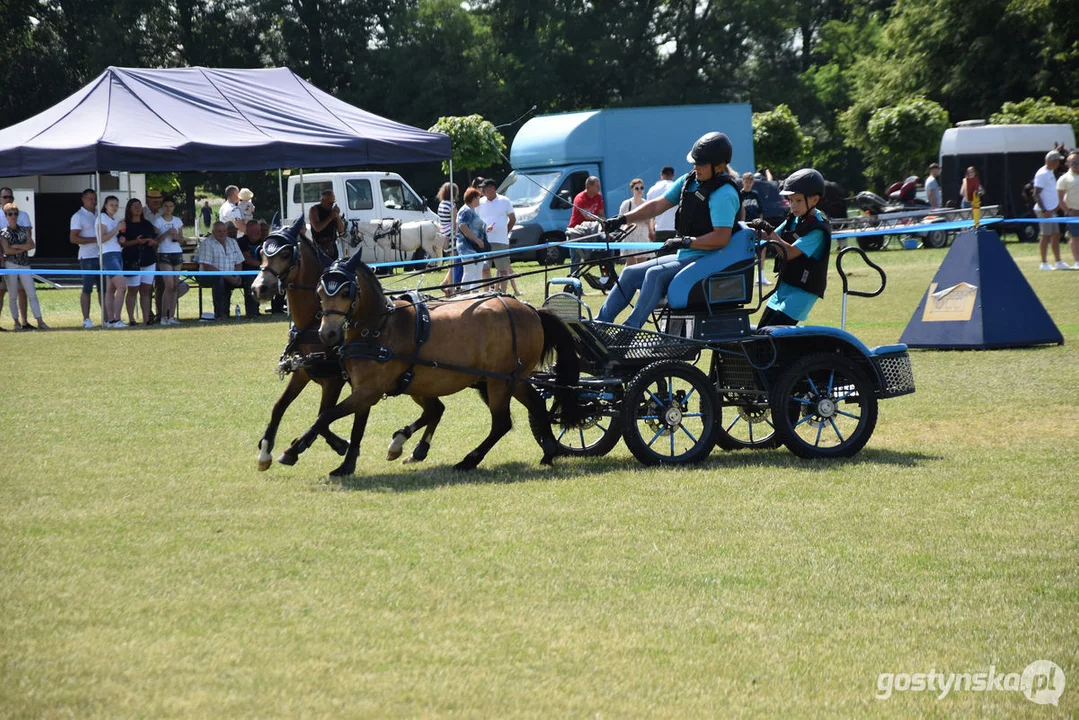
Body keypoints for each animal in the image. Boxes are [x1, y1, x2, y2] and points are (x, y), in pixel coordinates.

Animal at [248, 216, 349, 470]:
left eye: (286, 253)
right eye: (261, 252)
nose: (259, 288)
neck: (314, 321)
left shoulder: (333, 380)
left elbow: (323, 416)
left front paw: (299, 446)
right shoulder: (302, 371)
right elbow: (279, 406)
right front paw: (265, 449)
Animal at [276, 254, 582, 479]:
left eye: (345, 291)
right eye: (320, 291)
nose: (327, 334)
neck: (379, 328)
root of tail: (530, 310)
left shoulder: (368, 391)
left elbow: (325, 416)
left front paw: (293, 451)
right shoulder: (363, 390)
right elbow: (355, 427)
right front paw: (346, 465)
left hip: (499, 381)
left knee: (502, 422)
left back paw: (469, 460)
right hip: (513, 379)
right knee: (536, 406)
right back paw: (549, 452)